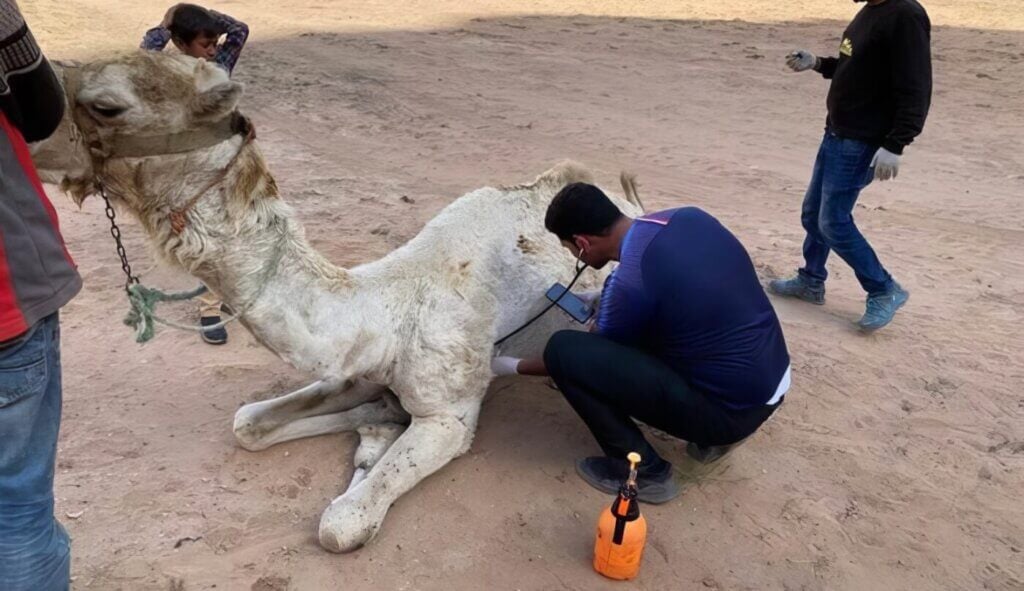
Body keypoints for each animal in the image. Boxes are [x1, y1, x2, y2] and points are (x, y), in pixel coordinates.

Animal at [29, 51, 638, 553]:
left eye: (106, 105)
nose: (30, 140)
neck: (390, 309)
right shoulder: (355, 366)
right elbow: (247, 423)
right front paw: (374, 422)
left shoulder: (450, 414)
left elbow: (342, 524)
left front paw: (376, 442)